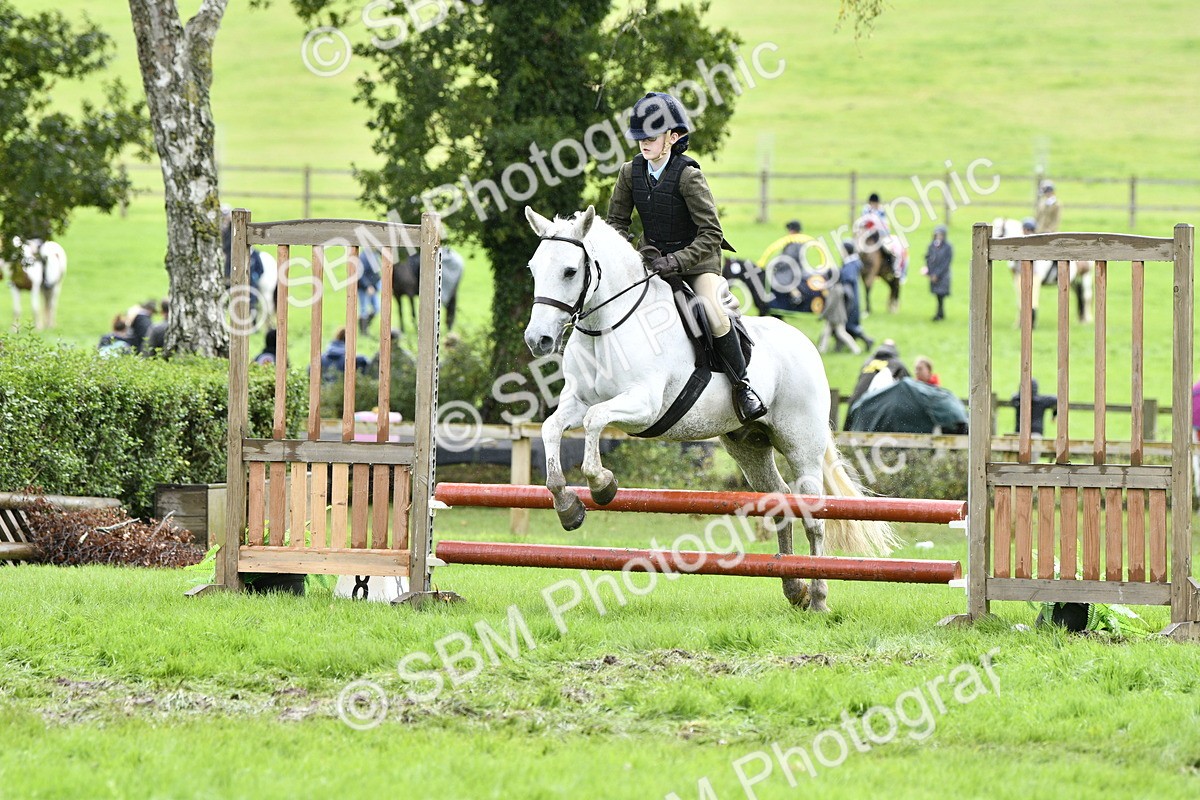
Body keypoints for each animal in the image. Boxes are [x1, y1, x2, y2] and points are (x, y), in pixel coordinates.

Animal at [522, 205, 898, 611]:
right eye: (533, 268)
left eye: (569, 271)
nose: (537, 340)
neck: (607, 328)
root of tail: (806, 345)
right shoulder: (577, 401)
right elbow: (552, 428)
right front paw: (567, 505)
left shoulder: (644, 405)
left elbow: (595, 421)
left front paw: (602, 485)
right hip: (748, 445)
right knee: (780, 502)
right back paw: (793, 586)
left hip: (802, 445)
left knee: (814, 517)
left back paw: (818, 597)